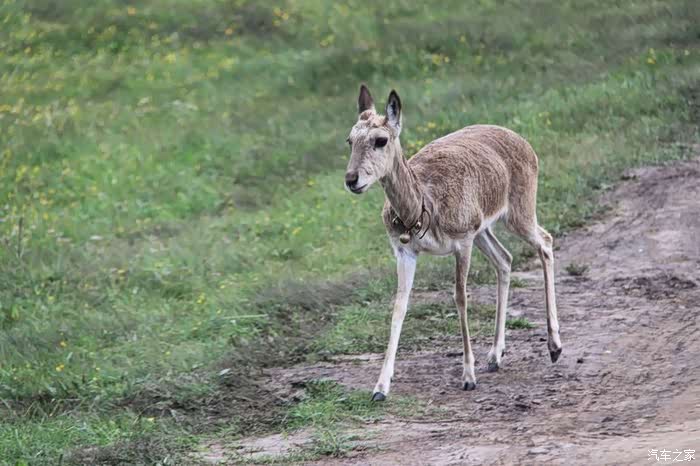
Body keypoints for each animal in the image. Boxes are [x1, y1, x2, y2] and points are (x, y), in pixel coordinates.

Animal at [344, 85, 562, 401]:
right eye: (349, 139)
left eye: (380, 140)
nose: (351, 179)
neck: (424, 206)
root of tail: (523, 142)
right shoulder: (404, 251)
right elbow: (399, 306)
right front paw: (380, 387)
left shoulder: (462, 243)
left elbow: (460, 298)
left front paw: (468, 376)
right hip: (484, 231)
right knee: (505, 259)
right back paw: (495, 355)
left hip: (517, 215)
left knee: (544, 241)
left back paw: (554, 347)